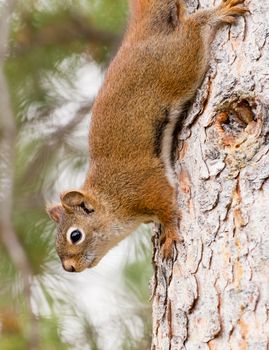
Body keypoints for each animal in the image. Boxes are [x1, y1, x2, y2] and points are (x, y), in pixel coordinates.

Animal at [45, 0, 245, 272]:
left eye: (75, 235)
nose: (70, 268)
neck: (110, 199)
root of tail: (140, 34)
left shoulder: (145, 188)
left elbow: (168, 208)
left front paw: (169, 234)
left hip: (180, 62)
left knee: (193, 30)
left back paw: (215, 15)